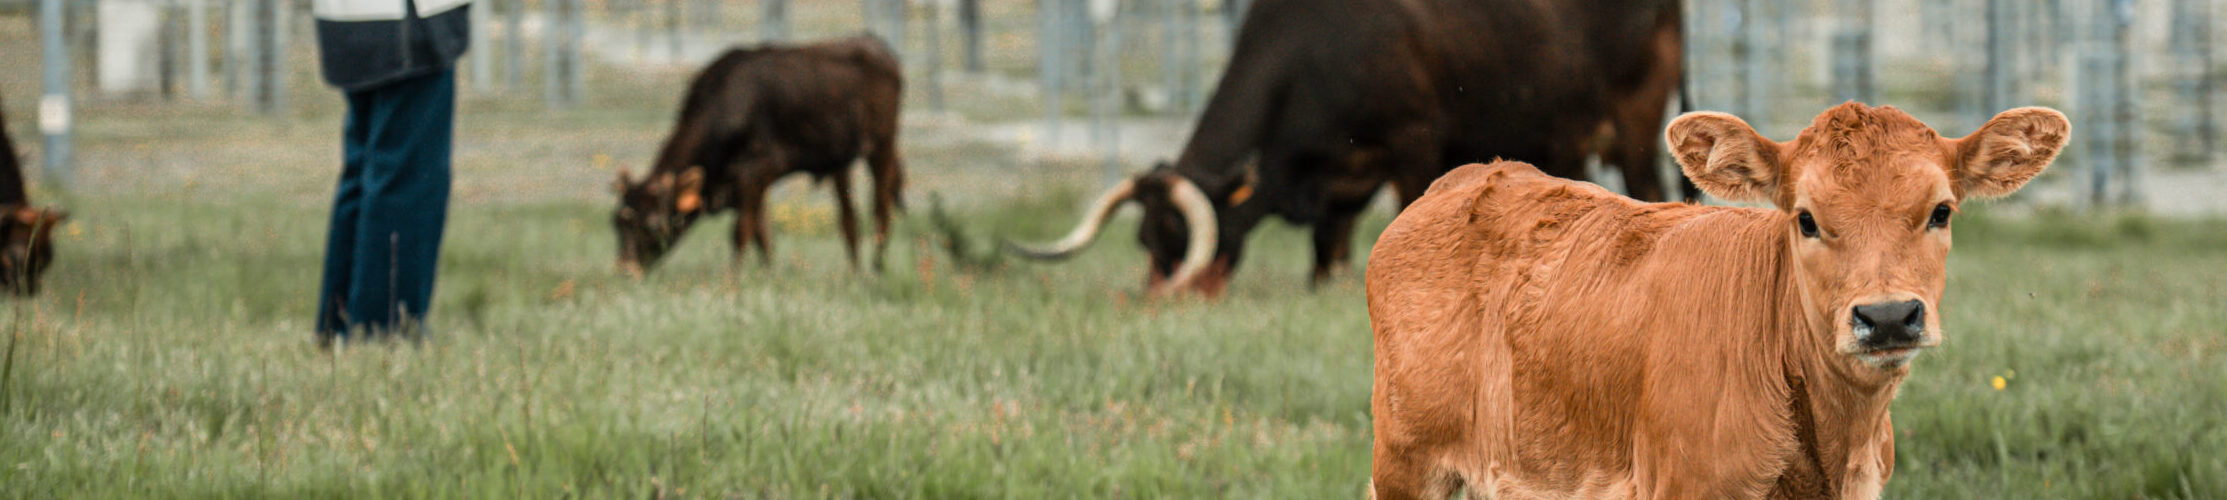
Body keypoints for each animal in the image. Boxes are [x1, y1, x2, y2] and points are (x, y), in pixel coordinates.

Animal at [612, 35, 904, 274]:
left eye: (652, 225)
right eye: (616, 222)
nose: (626, 270)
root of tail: (876, 45)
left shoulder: (755, 173)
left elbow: (741, 231)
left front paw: (733, 278)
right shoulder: (745, 184)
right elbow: (762, 235)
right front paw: (767, 274)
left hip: (882, 145)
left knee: (881, 208)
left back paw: (878, 267)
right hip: (839, 161)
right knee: (849, 218)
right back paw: (854, 271)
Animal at [1008, 0, 1693, 296]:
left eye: (1181, 238)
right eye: (1146, 240)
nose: (1158, 304)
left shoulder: (1416, 143)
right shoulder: (1339, 185)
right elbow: (1324, 254)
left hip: (1636, 126)